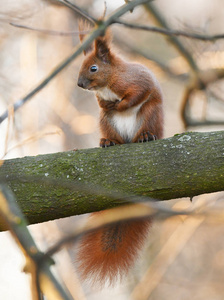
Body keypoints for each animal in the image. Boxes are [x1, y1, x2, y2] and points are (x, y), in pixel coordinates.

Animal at [76, 27, 163, 284]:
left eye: (93, 68)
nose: (80, 84)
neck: (107, 84)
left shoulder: (136, 82)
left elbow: (136, 94)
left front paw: (120, 104)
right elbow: (100, 103)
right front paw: (105, 103)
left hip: (150, 115)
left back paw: (144, 137)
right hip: (107, 124)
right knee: (111, 132)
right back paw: (109, 142)